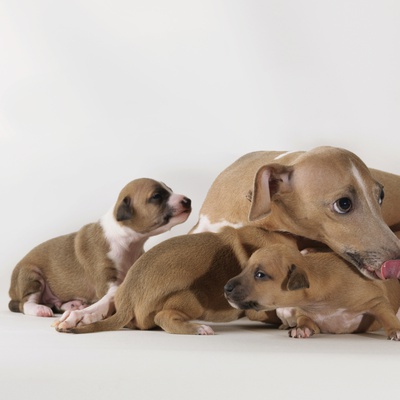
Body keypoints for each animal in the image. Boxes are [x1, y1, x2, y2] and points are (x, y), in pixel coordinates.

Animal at [223, 245, 400, 340]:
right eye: (245, 268)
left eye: (260, 274)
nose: (226, 288)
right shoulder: (305, 313)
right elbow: (304, 320)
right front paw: (301, 329)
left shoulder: (376, 300)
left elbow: (387, 316)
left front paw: (396, 330)